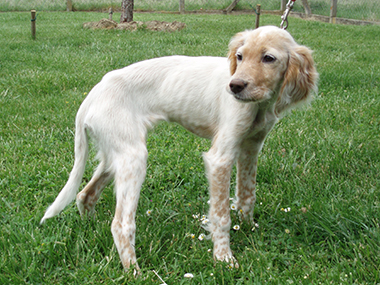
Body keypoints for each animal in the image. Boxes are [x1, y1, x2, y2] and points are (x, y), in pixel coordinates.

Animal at [40, 26, 318, 268]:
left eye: (269, 58)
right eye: (240, 56)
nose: (234, 86)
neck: (259, 105)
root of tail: (92, 96)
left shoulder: (250, 148)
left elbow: (247, 195)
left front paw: (248, 228)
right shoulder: (220, 157)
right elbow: (221, 214)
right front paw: (223, 258)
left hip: (116, 155)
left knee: (85, 194)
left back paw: (91, 228)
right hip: (133, 158)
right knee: (120, 224)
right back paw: (135, 271)